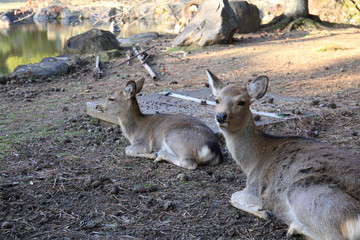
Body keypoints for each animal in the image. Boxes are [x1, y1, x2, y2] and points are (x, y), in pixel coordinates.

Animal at [205, 70, 360, 240]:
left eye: (242, 102)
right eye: (217, 100)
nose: (221, 116)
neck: (252, 162)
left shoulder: (253, 189)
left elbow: (233, 196)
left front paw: (265, 212)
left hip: (305, 193)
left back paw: (293, 227)